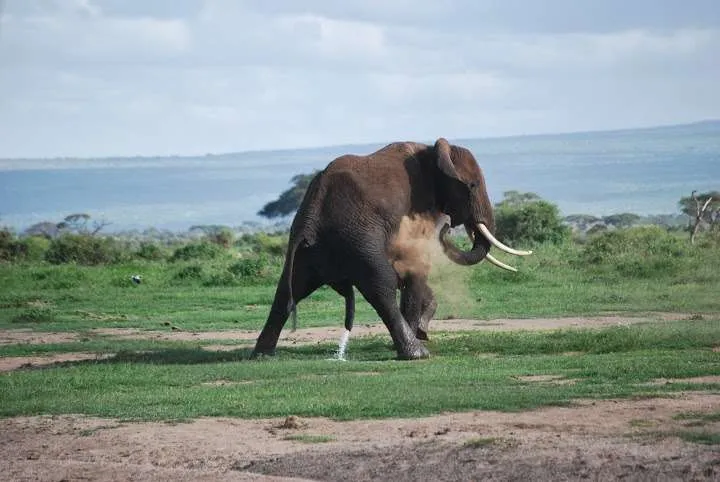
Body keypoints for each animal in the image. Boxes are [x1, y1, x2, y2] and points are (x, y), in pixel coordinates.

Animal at [252, 138, 531, 360]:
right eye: (472, 185)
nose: (446, 225)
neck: (432, 150)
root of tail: (311, 219)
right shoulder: (419, 205)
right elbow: (416, 268)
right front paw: (418, 334)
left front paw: (422, 330)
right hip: (357, 239)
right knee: (381, 286)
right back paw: (416, 353)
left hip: (310, 251)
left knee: (288, 290)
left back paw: (262, 355)